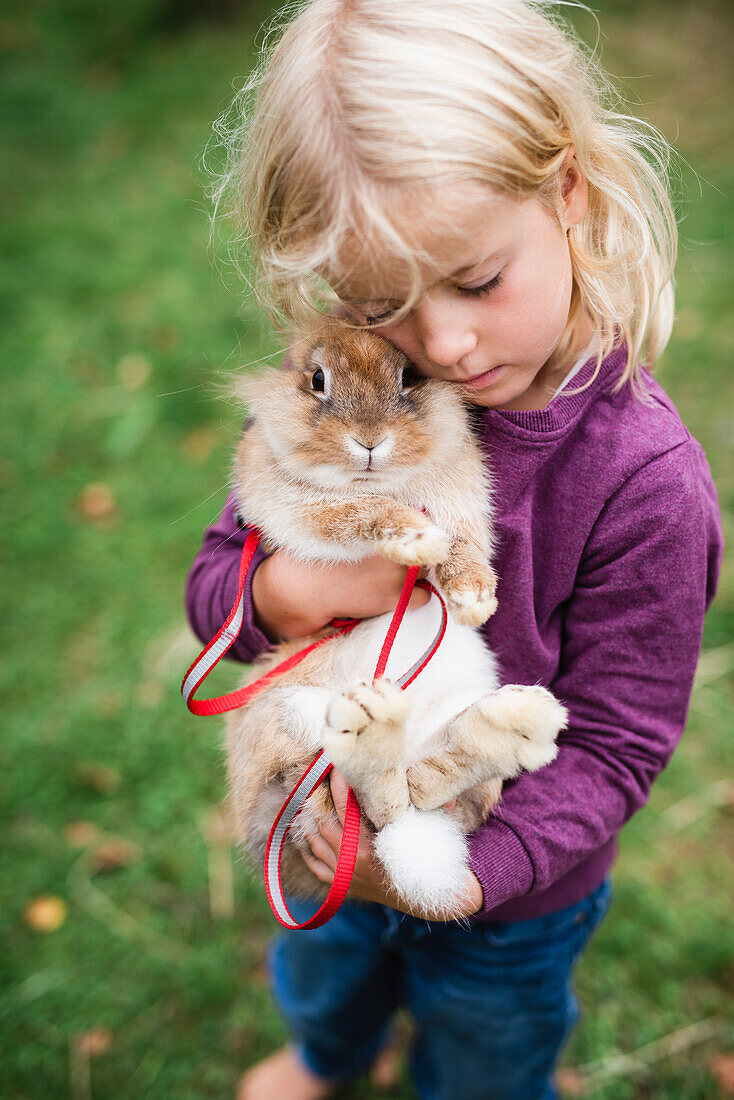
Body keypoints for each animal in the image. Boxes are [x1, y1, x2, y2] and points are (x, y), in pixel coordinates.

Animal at [226, 319, 567, 919]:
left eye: (410, 376)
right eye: (317, 380)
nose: (368, 441)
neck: (377, 479)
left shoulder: (460, 495)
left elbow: (465, 543)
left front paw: (474, 597)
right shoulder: (300, 506)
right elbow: (356, 515)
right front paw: (416, 538)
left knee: (420, 789)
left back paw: (519, 722)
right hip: (288, 725)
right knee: (374, 800)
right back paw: (377, 725)